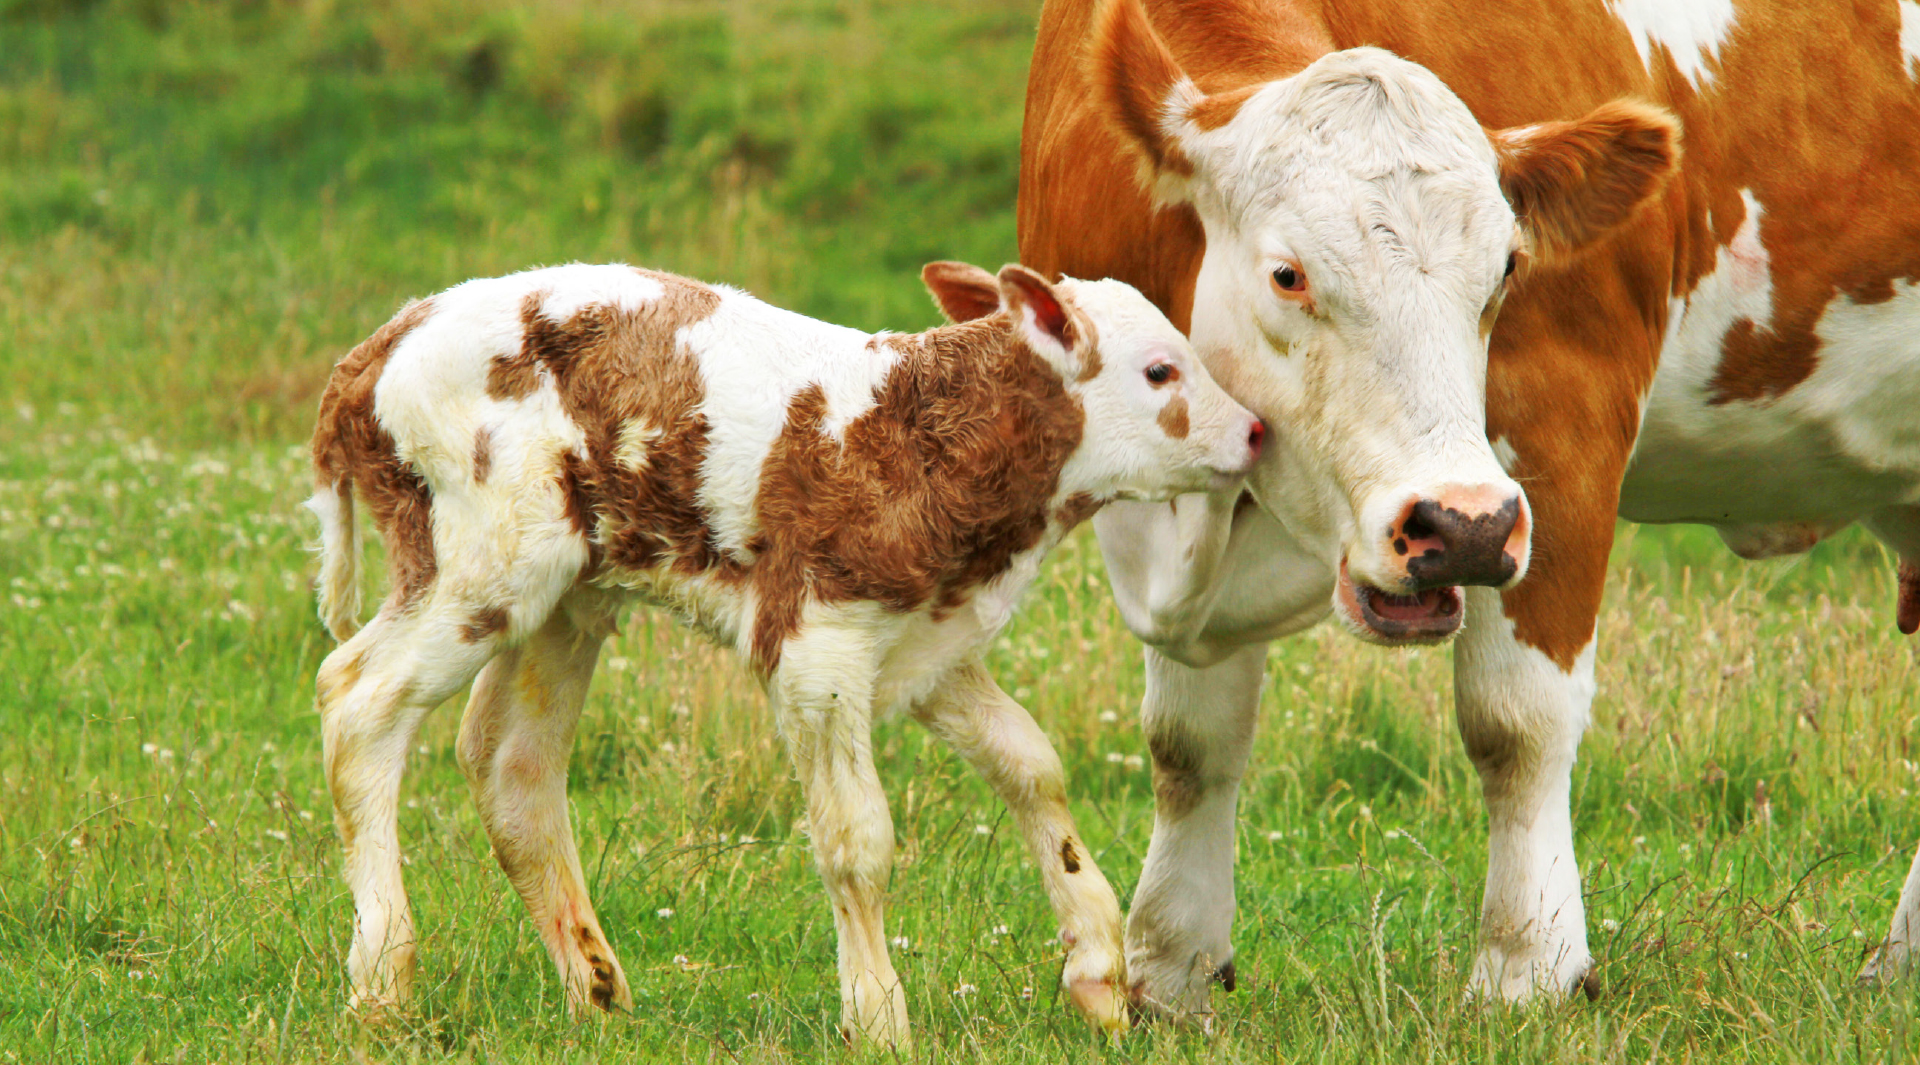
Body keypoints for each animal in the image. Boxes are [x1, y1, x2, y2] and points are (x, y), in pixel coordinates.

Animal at [303, 260, 1259, 1051]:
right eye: (1161, 371)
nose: (1254, 432)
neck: (917, 437)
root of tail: (380, 344)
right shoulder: (815, 646)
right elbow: (856, 837)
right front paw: (878, 1017)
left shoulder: (927, 640)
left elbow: (1032, 765)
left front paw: (1098, 969)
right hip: (482, 560)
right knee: (358, 697)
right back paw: (382, 981)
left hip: (568, 593)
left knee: (510, 762)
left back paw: (598, 990)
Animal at [1029, 0, 1920, 1020]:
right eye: (1289, 274)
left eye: (1505, 269)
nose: (1459, 527)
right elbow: (1188, 740)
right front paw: (1170, 971)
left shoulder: (1561, 432)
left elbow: (1516, 720)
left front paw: (1526, 969)